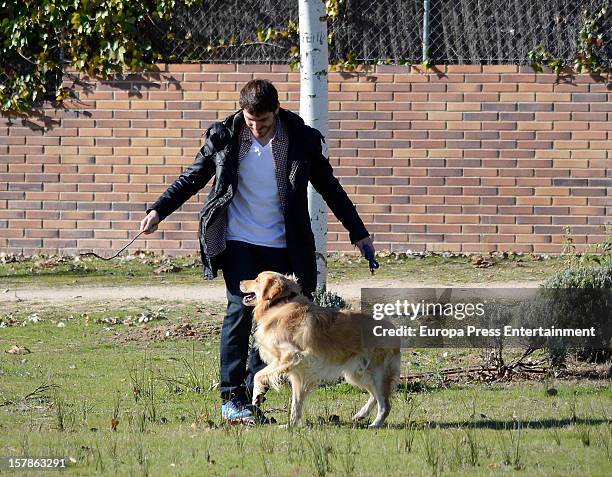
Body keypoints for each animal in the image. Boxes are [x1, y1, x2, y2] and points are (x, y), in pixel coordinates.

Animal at [239, 272, 402, 428]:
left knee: (385, 404)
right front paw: (291, 425)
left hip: (376, 373)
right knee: (376, 396)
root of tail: (392, 328)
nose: (240, 281)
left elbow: (258, 375)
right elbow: (296, 404)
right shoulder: (298, 373)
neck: (280, 304)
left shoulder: (291, 356)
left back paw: (375, 424)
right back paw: (361, 415)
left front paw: (257, 394)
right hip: (357, 374)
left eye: (257, 279)